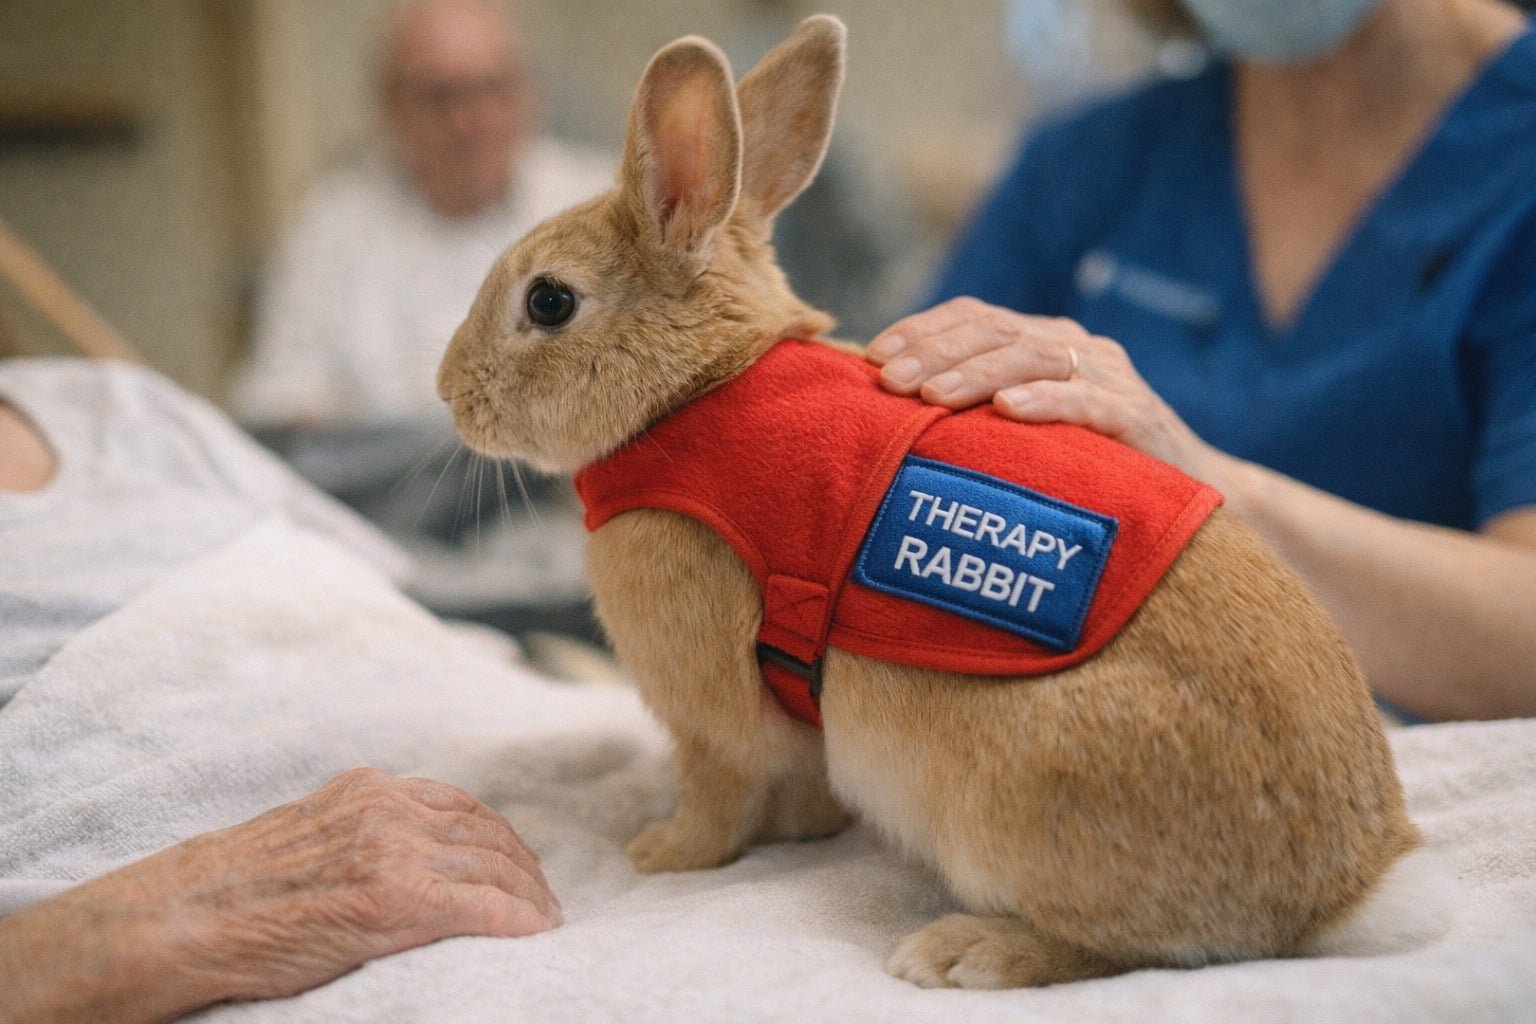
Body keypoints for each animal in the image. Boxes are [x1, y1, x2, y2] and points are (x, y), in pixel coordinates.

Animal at [437, 14, 1446, 989]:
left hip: (1020, 800)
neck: (693, 388)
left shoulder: (711, 711)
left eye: (550, 302)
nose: (450, 392)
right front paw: (796, 834)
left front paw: (660, 854)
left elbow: (720, 792)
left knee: (1130, 950)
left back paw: (963, 953)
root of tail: (1343, 889)